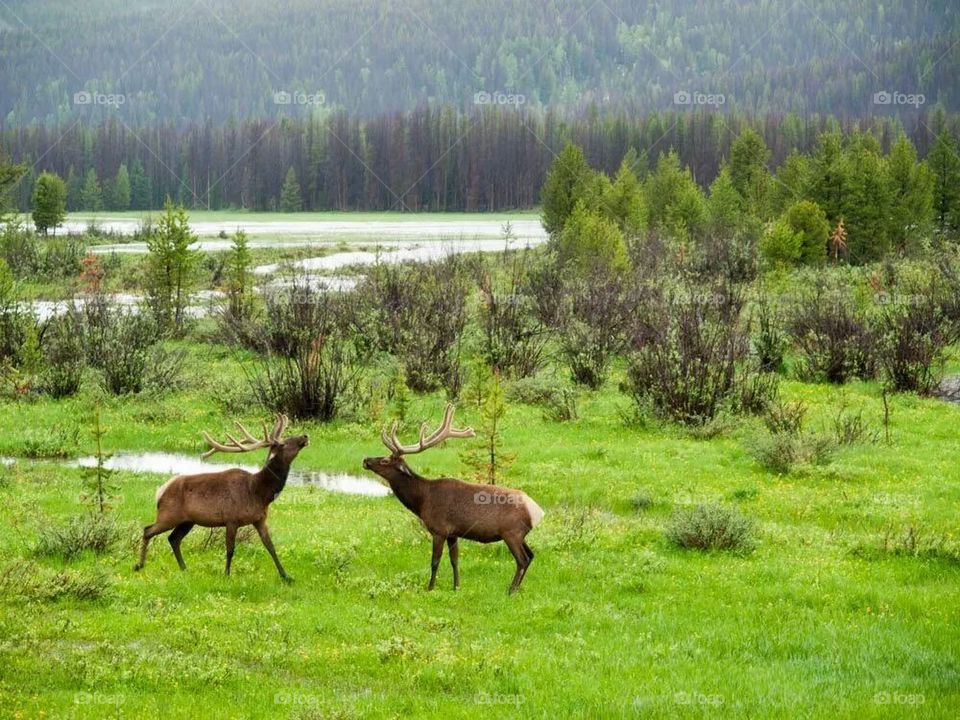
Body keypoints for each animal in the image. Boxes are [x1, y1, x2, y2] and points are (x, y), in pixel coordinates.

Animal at [134, 415, 308, 582]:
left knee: (173, 538)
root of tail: (160, 491)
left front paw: (286, 576)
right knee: (148, 530)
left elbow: (270, 547)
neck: (259, 493)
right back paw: (139, 565)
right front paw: (226, 574)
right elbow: (230, 549)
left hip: (187, 521)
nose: (305, 436)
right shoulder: (231, 519)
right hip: (168, 515)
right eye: (284, 443)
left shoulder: (260, 519)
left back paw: (184, 568)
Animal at [362, 404, 544, 594]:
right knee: (531, 555)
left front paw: (430, 588)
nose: (366, 460)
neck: (422, 500)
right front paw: (456, 586)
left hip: (512, 533)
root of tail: (538, 512)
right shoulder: (453, 533)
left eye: (384, 460)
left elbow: (435, 562)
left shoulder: (439, 529)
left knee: (523, 559)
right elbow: (454, 560)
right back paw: (515, 588)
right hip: (520, 535)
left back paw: (511, 590)